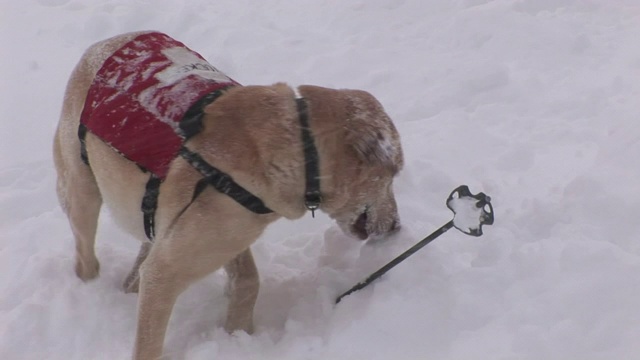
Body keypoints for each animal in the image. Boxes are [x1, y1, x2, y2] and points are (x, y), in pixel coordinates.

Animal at [52, 31, 402, 360]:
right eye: (394, 173)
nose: (397, 227)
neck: (302, 149)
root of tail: (102, 45)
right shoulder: (167, 271)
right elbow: (149, 343)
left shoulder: (231, 232)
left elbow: (247, 281)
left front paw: (238, 335)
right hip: (82, 192)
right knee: (86, 256)